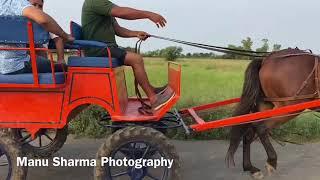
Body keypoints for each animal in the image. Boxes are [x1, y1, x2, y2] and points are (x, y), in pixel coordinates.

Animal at [225, 47, 320, 179]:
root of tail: (266, 60)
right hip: (288, 107)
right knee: (261, 128)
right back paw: (271, 161)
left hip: (266, 105)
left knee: (250, 131)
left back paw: (251, 168)